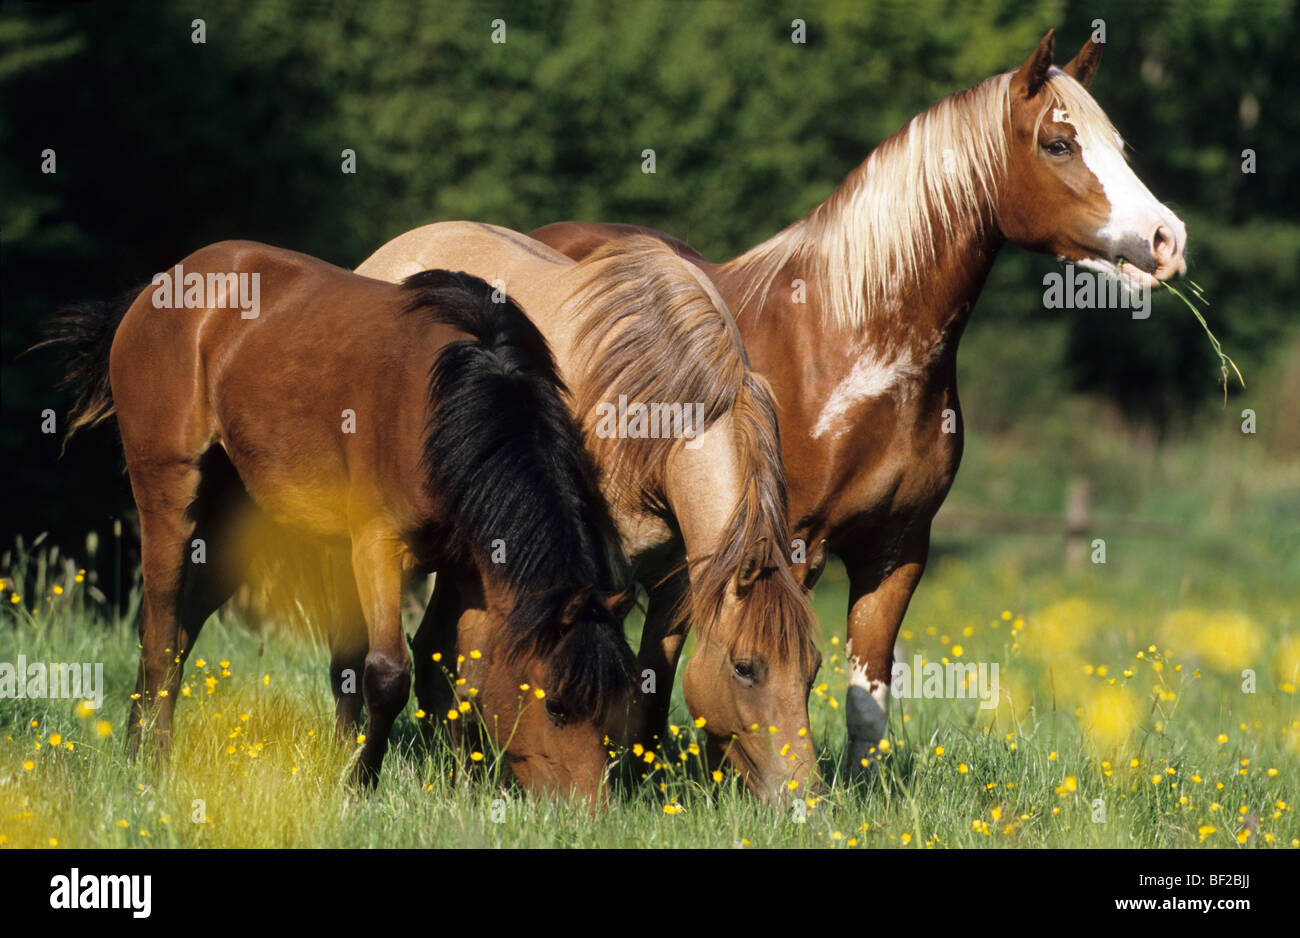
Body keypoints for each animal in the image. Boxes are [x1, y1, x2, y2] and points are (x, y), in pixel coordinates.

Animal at [49, 237, 634, 795]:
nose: (588, 813)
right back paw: (149, 758)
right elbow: (388, 674)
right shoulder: (378, 548)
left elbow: (454, 677)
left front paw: (461, 788)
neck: (454, 402)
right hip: (169, 497)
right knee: (160, 628)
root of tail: (158, 289)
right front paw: (359, 781)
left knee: (182, 628)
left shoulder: (472, 570)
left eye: (615, 707)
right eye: (556, 706)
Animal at [527, 31, 1190, 774]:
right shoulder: (785, 547)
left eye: (1120, 146)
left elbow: (866, 698)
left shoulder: (897, 550)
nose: (1167, 238)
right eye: (1059, 145)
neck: (852, 345)